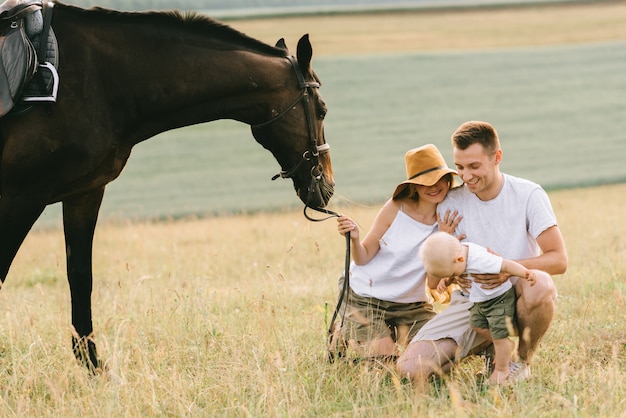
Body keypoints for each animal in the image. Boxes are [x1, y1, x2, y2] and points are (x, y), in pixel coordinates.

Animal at [0, 0, 334, 372]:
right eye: (322, 110)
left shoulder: (83, 194)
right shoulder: (21, 196)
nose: (327, 184)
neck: (102, 79)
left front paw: (93, 367)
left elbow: (80, 277)